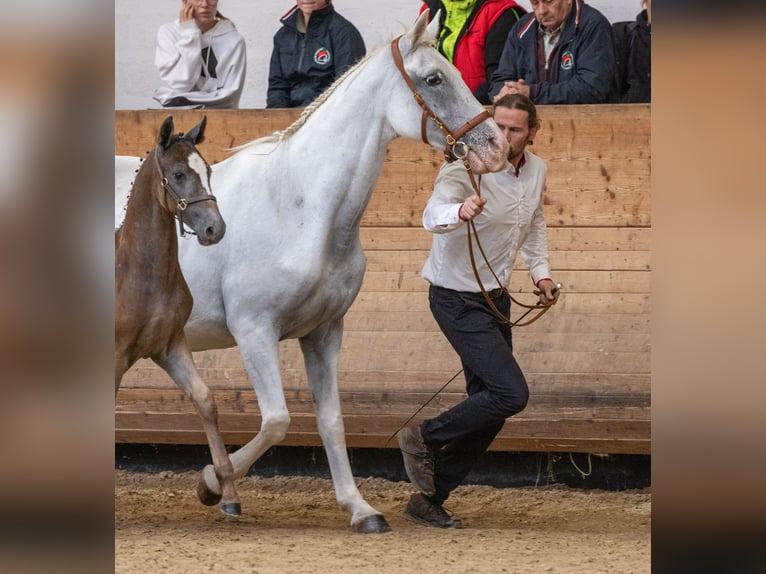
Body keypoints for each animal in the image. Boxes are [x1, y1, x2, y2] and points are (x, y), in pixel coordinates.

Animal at [115, 12, 510, 536]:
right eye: (433, 79)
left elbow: (330, 421)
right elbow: (277, 420)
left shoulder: (324, 332)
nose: (496, 147)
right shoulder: (254, 330)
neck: (299, 205)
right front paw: (212, 484)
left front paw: (360, 509)